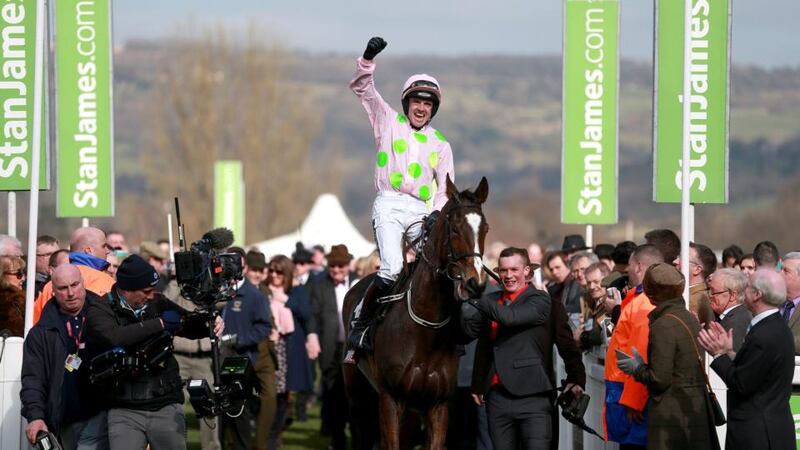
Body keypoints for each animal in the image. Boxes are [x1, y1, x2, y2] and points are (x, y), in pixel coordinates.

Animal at [342, 176, 488, 450]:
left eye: (485, 228)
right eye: (454, 228)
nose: (475, 282)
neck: (426, 327)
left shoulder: (437, 405)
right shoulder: (390, 399)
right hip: (357, 396)